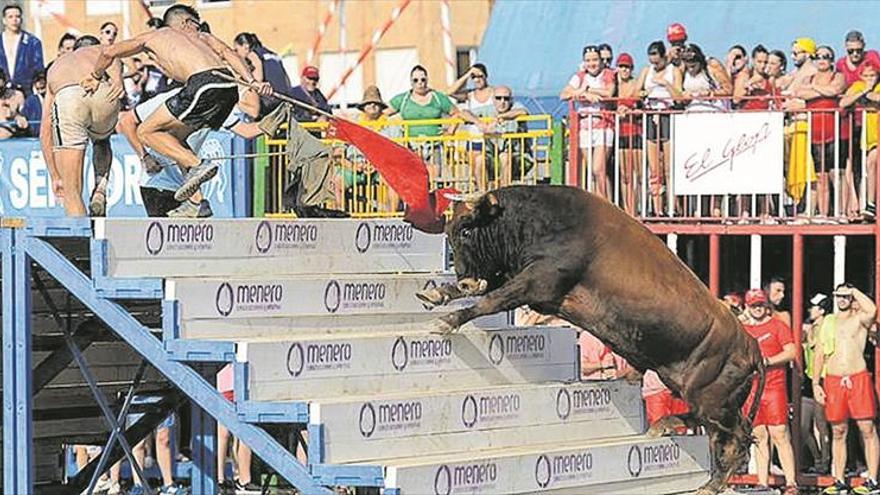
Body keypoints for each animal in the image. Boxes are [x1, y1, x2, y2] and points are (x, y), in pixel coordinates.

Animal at [418, 186, 764, 495]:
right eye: (449, 230)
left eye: (466, 230)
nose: (464, 278)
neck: (544, 221)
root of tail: (751, 346)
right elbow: (487, 291)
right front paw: (437, 294)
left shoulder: (539, 282)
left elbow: (491, 300)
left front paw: (446, 321)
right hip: (693, 389)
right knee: (713, 424)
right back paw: (663, 427)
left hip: (710, 398)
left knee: (737, 436)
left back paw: (711, 483)